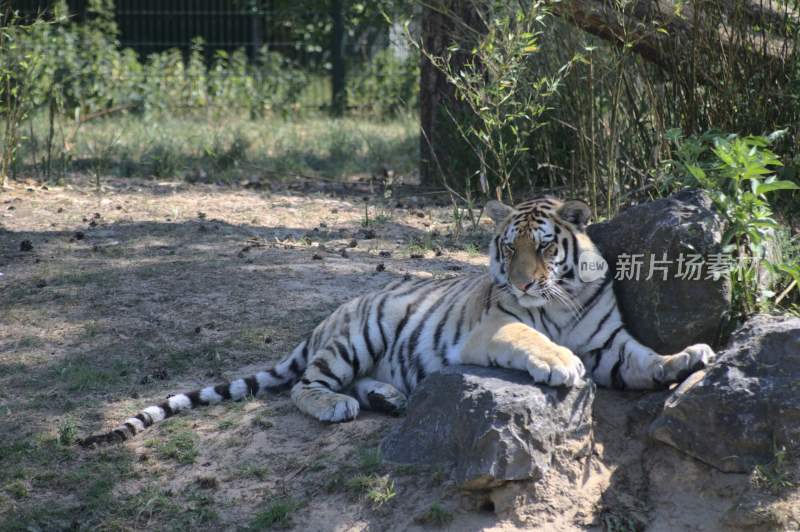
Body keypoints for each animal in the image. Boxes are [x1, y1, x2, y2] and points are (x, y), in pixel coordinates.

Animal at [81, 195, 716, 444]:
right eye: (507, 248)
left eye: (542, 246)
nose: (519, 281)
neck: (556, 299)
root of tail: (326, 318)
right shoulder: (495, 327)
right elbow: (530, 336)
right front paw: (560, 364)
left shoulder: (611, 344)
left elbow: (647, 360)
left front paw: (691, 357)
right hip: (361, 335)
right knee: (305, 385)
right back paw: (338, 406)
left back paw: (388, 398)